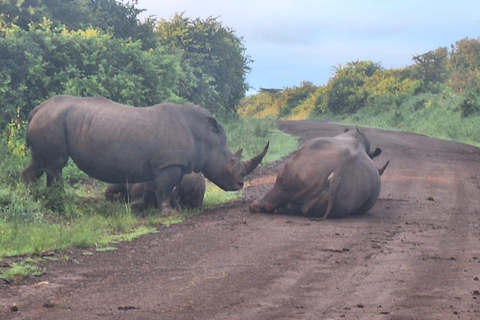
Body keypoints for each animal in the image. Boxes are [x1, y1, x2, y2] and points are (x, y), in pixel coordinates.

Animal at [22, 94, 268, 211]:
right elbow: (166, 189)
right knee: (55, 164)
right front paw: (168, 213)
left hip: (47, 120)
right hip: (52, 121)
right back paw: (58, 204)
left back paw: (31, 198)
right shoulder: (169, 163)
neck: (204, 137)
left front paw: (175, 210)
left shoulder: (173, 165)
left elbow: (169, 189)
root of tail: (38, 108)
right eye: (231, 160)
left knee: (38, 163)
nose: (240, 184)